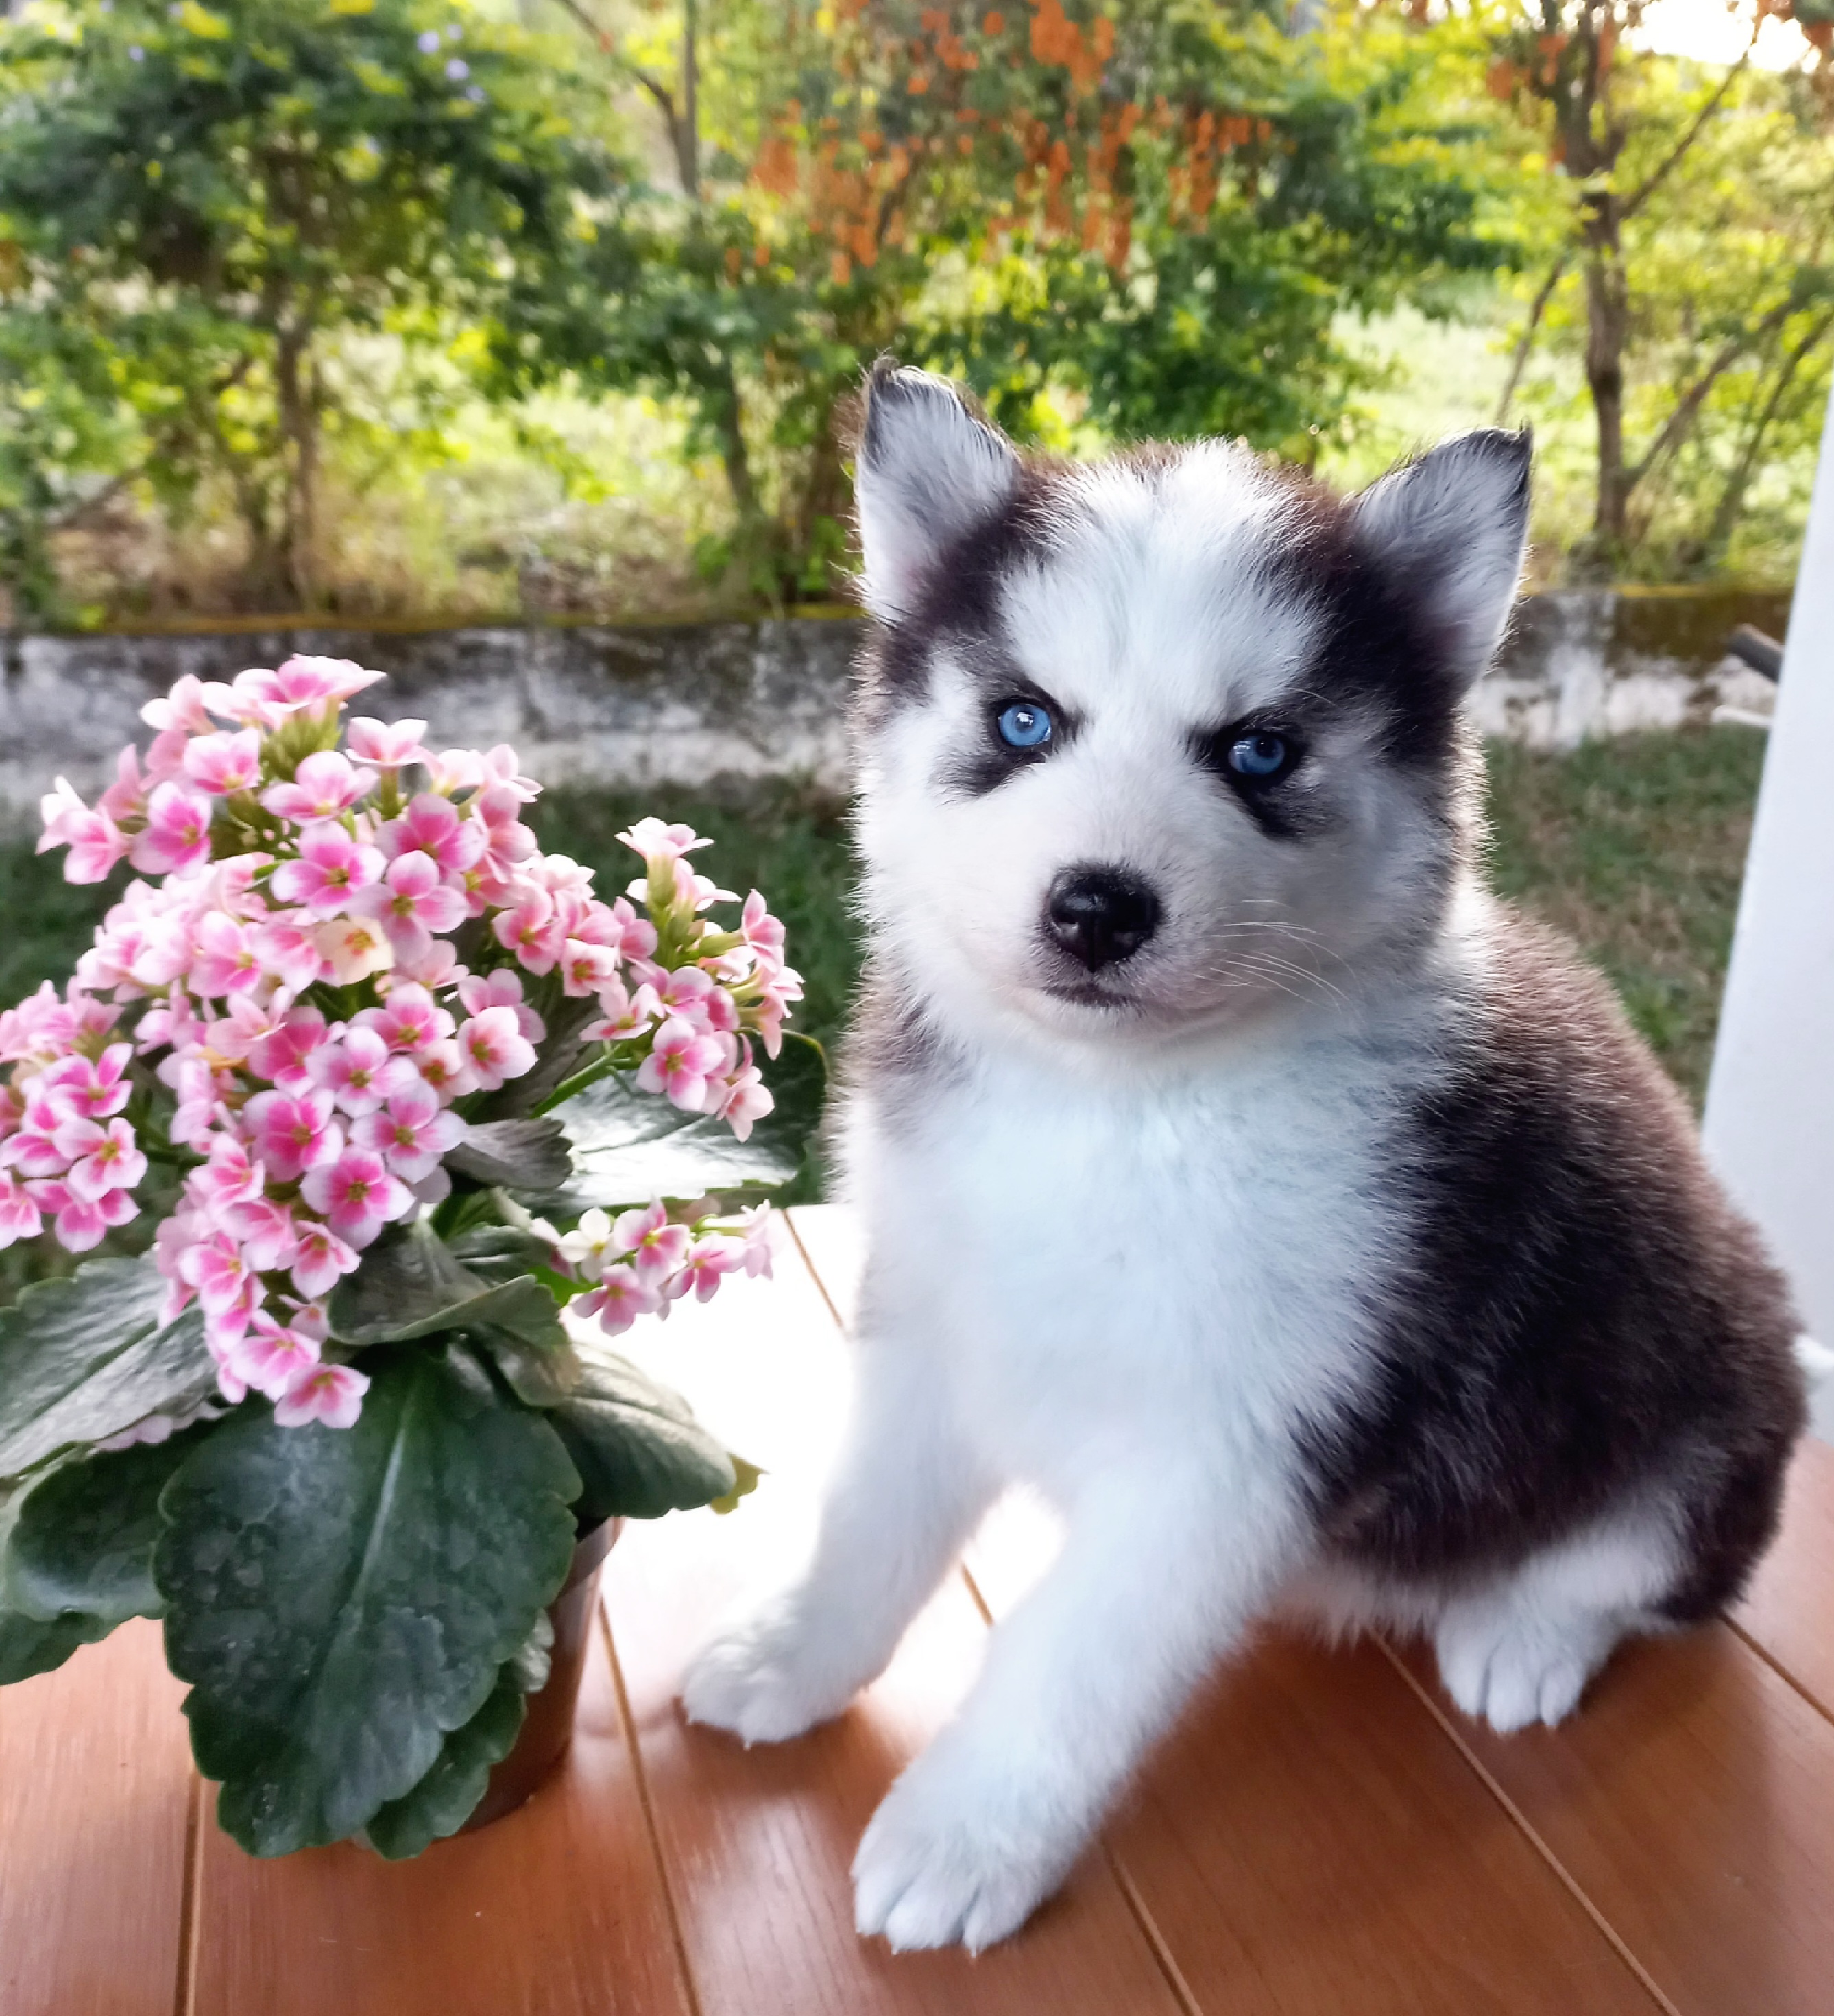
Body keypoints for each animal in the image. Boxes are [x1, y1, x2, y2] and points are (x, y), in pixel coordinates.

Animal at [677, 363, 1805, 1951]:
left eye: (1257, 750)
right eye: (1022, 721)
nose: (1096, 908)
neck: (1114, 1107)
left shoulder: (1242, 1444)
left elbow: (1069, 1654)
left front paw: (965, 1833)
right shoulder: (932, 1319)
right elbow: (870, 1526)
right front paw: (793, 1656)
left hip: (1699, 1400)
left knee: (1651, 1567)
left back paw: (1523, 1635)